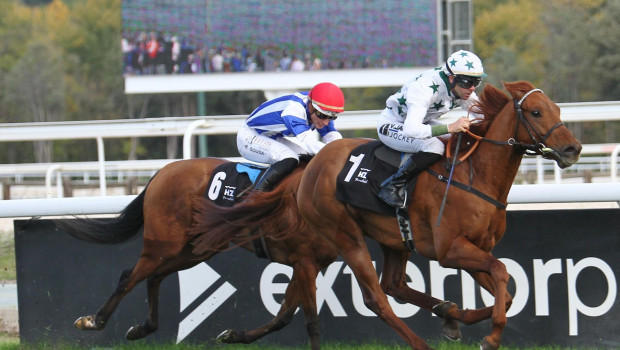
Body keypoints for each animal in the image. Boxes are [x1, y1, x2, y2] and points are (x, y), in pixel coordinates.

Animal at [298, 81, 584, 348]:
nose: (573, 149)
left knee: (394, 285)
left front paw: (459, 317)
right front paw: (492, 337)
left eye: (557, 109)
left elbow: (506, 292)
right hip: (346, 234)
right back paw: (421, 342)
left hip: (394, 238)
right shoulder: (449, 249)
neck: (476, 177)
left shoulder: (476, 248)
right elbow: (502, 270)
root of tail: (313, 164)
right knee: (375, 298)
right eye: (536, 112)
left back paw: (447, 312)